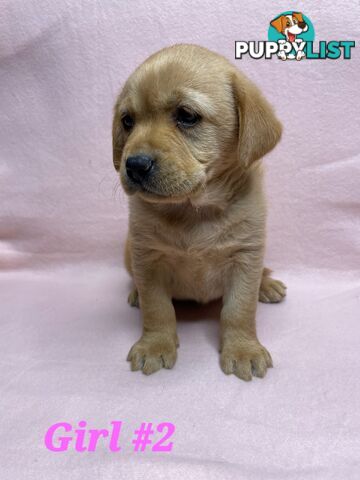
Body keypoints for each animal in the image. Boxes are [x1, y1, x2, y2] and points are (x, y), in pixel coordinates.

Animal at [112, 45, 286, 382]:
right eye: (127, 121)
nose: (134, 165)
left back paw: (267, 284)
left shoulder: (246, 256)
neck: (193, 210)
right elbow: (157, 308)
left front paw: (243, 350)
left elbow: (239, 310)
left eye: (187, 116)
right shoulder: (147, 257)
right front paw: (155, 345)